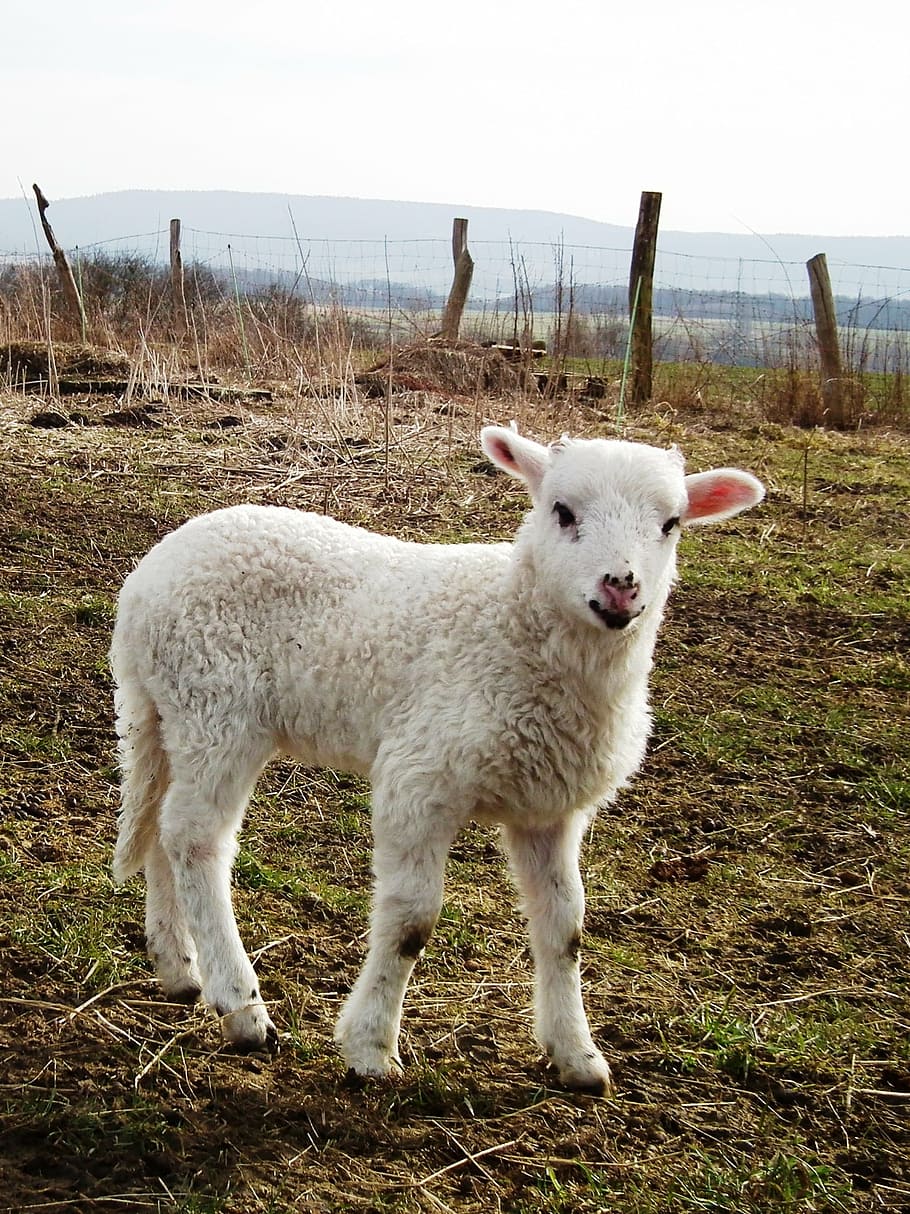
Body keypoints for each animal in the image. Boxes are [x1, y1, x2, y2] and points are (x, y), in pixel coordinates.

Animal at [110, 425, 764, 1094]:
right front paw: (371, 1048)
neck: (512, 621)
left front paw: (577, 1056)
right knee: (195, 838)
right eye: (562, 511)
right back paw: (241, 1007)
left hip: (175, 713)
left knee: (161, 827)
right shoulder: (421, 776)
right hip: (218, 706)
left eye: (671, 523)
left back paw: (179, 968)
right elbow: (411, 923)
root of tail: (145, 582)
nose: (621, 587)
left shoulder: (548, 809)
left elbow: (565, 927)